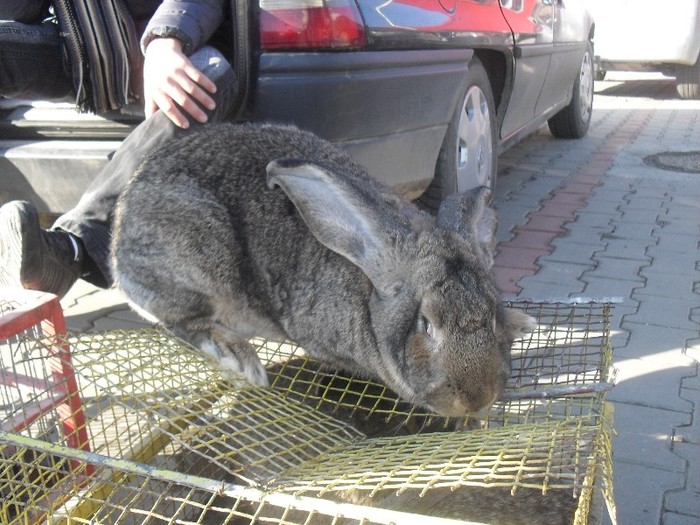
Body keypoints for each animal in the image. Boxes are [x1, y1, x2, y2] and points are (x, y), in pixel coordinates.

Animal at [112, 121, 532, 416]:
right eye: (425, 325)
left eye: (493, 314)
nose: (479, 399)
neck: (367, 292)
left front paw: (522, 322)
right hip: (198, 257)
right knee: (182, 322)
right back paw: (241, 359)